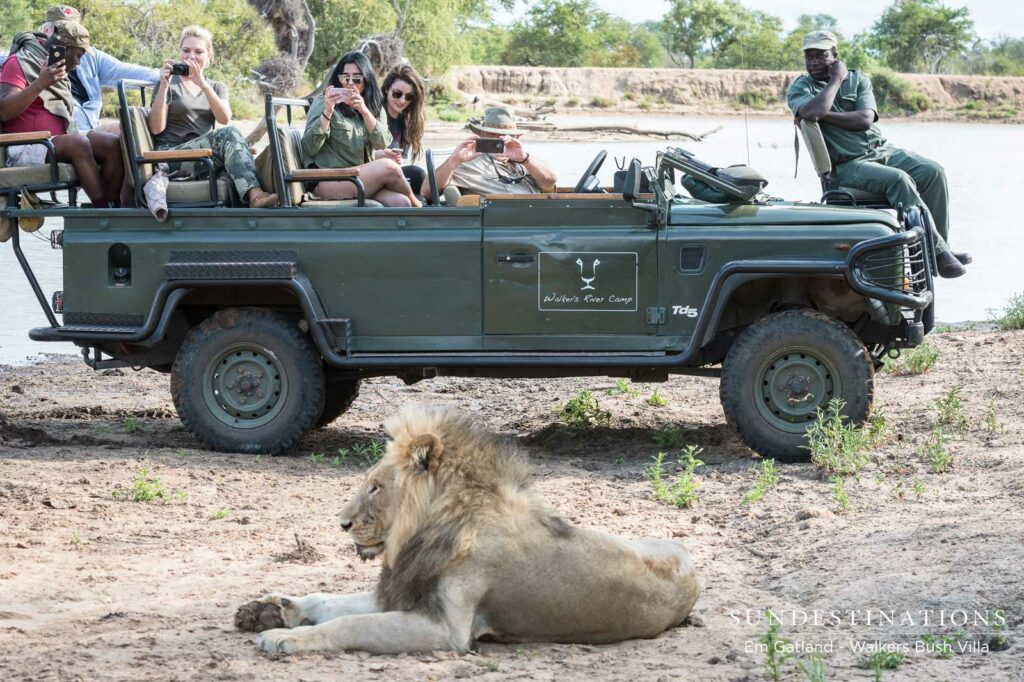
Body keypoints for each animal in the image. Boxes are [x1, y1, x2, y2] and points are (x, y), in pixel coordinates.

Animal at [235, 405, 700, 654]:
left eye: (376, 486)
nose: (342, 523)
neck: (429, 529)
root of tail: (690, 561)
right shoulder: (405, 593)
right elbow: (330, 601)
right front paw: (272, 608)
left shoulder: (447, 629)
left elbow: (349, 625)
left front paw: (283, 637)